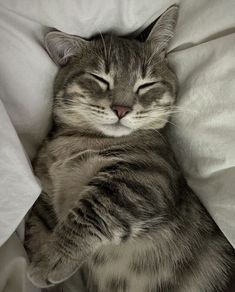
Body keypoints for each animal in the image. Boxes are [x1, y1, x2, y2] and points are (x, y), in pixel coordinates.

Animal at [24, 5, 234, 292]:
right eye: (100, 79)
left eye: (146, 84)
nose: (121, 109)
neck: (77, 139)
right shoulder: (46, 191)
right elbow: (38, 223)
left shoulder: (145, 177)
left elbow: (90, 211)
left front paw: (52, 260)